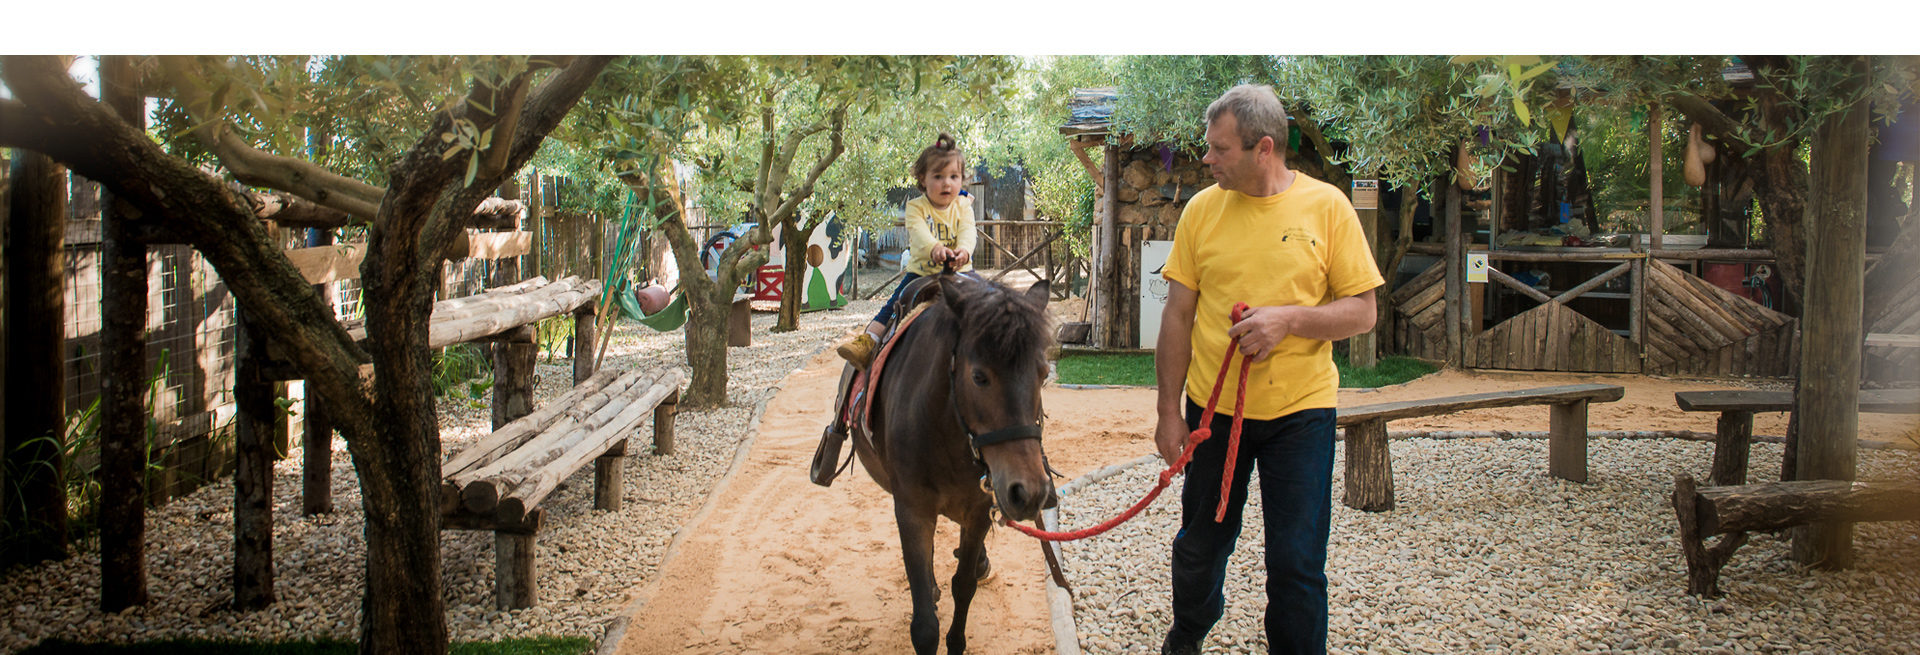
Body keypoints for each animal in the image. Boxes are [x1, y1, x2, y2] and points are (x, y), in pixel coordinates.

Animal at [852, 268, 1059, 649]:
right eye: (978, 376)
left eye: (1043, 374)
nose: (1029, 492)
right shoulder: (913, 511)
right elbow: (924, 623)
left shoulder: (978, 510)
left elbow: (964, 586)